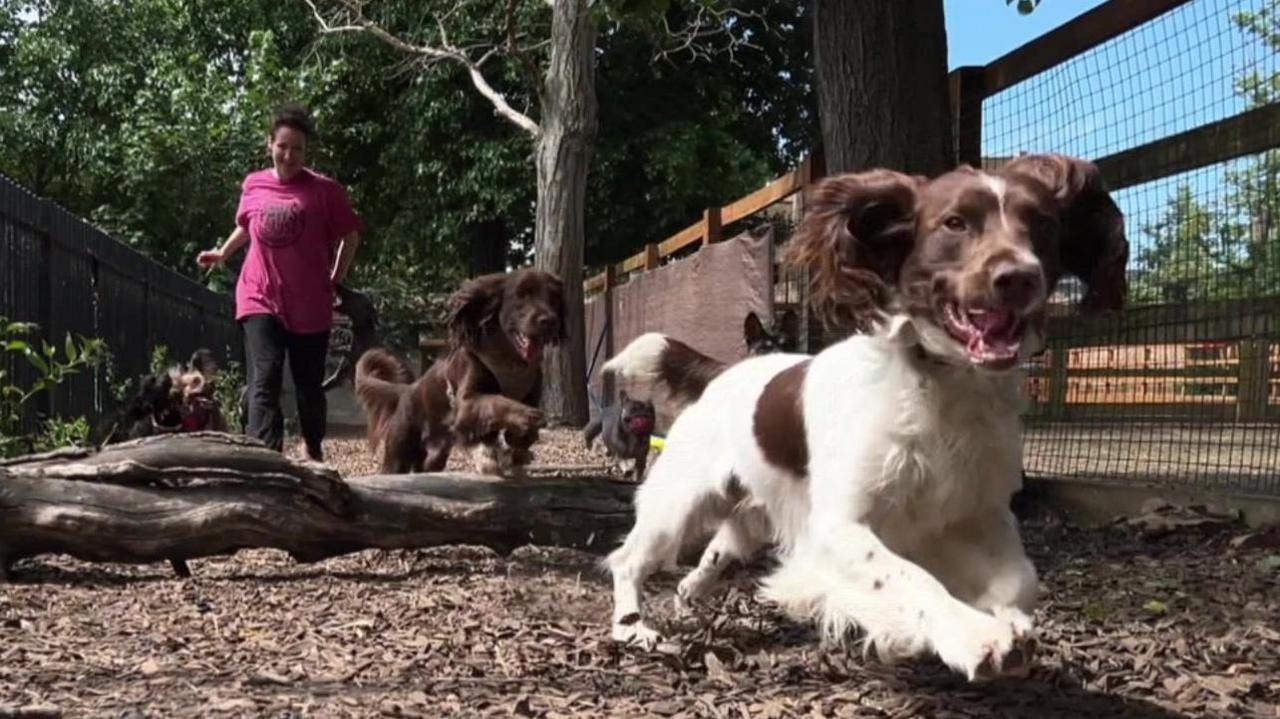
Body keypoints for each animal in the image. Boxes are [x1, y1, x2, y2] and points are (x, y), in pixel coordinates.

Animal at [355, 266, 565, 473]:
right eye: (521, 295)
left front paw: (518, 442)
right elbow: (496, 401)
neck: (510, 359)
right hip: (399, 450)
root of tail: (407, 390)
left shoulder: (531, 393)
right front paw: (527, 417)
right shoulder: (466, 404)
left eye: (553, 298)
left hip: (434, 459)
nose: (549, 320)